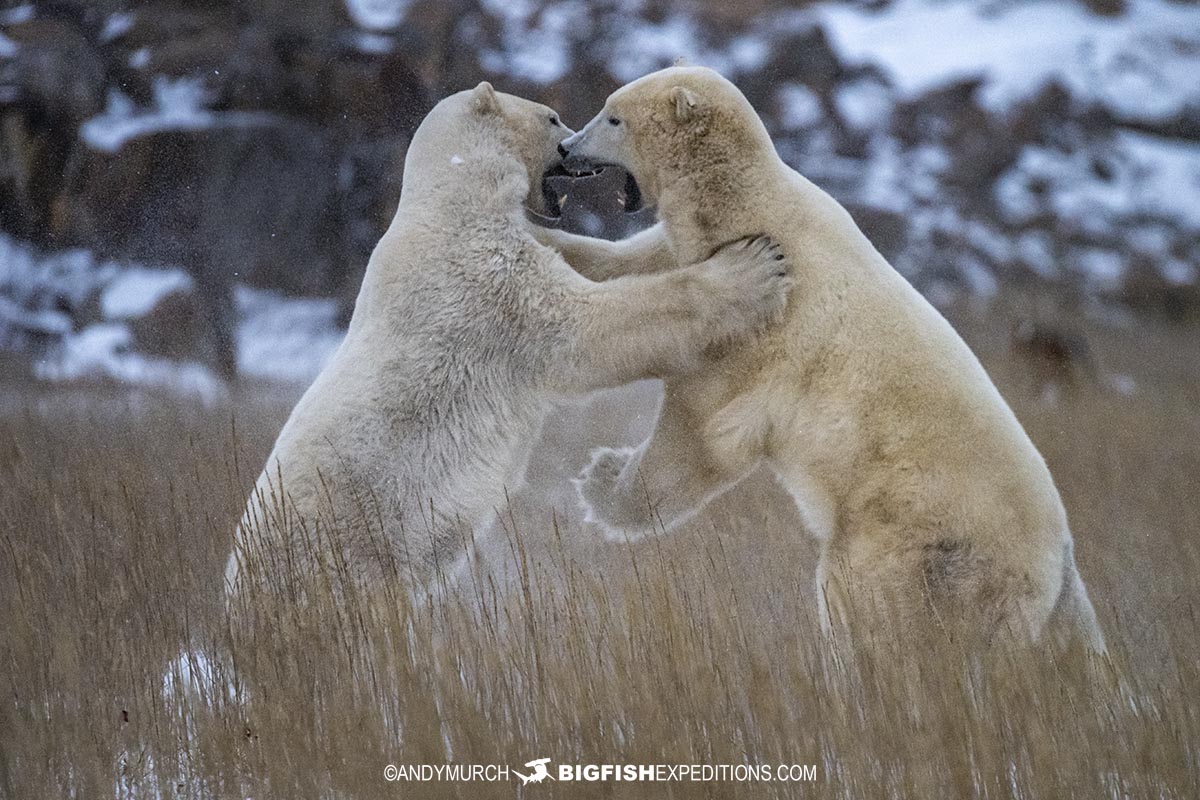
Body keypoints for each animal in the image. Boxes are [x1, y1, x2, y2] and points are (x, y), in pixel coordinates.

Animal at [223, 81, 792, 605]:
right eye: (552, 117)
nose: (570, 148)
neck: (452, 197)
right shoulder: (484, 281)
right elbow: (588, 330)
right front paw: (752, 267)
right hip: (343, 546)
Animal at [554, 66, 1105, 654]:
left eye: (613, 117)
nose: (566, 147)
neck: (746, 204)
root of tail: (1058, 564)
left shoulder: (764, 338)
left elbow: (705, 430)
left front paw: (602, 483)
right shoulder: (695, 249)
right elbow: (626, 266)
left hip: (917, 539)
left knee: (869, 599)